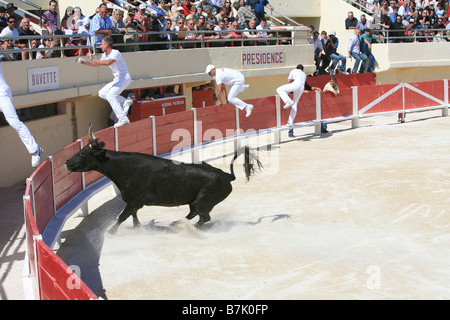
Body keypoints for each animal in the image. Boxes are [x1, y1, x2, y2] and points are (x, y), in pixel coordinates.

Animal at [65, 125, 262, 235]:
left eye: (83, 153)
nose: (67, 162)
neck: (124, 169)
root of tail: (227, 176)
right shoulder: (133, 202)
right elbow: (132, 216)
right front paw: (137, 228)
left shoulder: (134, 201)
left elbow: (122, 217)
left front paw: (110, 233)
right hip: (194, 200)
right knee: (193, 213)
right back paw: (177, 223)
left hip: (203, 200)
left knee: (203, 217)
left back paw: (189, 229)